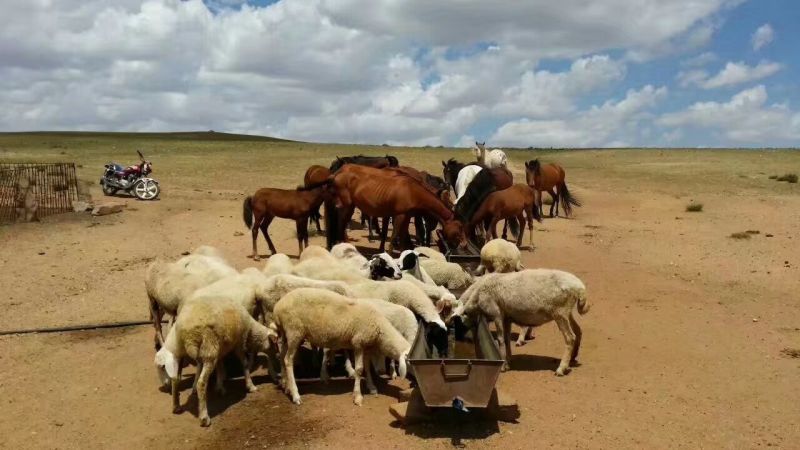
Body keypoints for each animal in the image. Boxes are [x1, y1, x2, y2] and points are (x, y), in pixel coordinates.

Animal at [320, 164, 466, 253]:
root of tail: (337, 173)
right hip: (346, 206)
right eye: (459, 228)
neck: (412, 191)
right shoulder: (399, 216)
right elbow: (394, 236)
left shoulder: (406, 216)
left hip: (349, 206)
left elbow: (402, 238)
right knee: (341, 224)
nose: (464, 244)